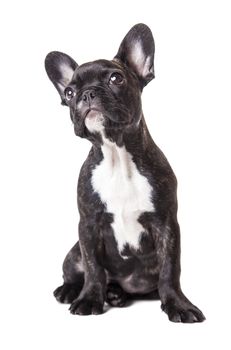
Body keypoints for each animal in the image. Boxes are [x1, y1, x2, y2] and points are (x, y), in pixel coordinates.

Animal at [44, 22, 205, 322]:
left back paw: (117, 294)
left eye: (116, 78)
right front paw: (89, 299)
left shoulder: (166, 224)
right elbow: (93, 269)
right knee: (76, 271)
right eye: (69, 93)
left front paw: (178, 304)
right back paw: (72, 290)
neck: (117, 157)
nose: (86, 94)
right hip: (74, 252)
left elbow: (170, 271)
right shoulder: (88, 226)